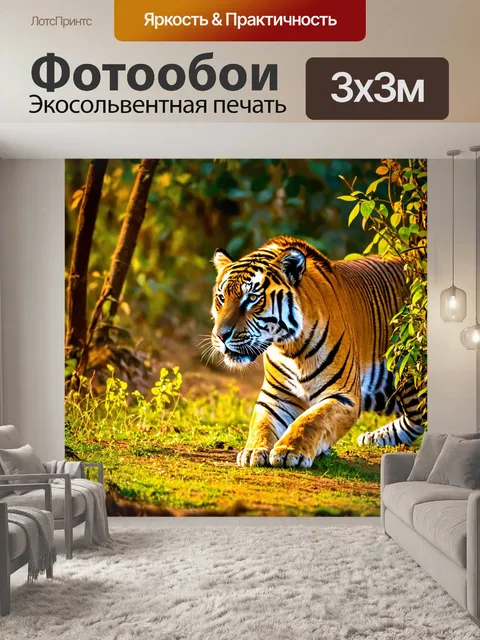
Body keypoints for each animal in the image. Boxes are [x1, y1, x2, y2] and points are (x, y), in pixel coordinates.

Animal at [210, 236, 425, 469]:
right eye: (221, 298)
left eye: (251, 299)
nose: (221, 335)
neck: (289, 348)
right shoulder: (275, 396)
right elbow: (261, 424)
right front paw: (253, 451)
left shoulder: (343, 395)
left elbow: (311, 420)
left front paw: (289, 451)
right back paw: (374, 437)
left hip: (411, 378)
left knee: (419, 417)